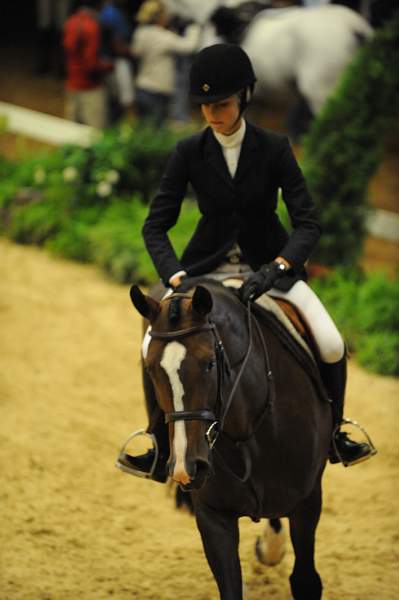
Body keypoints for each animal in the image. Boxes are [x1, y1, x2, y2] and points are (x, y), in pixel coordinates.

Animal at [130, 282, 332, 600]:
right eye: (150, 369)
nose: (186, 468)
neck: (245, 435)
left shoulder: (309, 501)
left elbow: (306, 581)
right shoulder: (214, 517)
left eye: (209, 364)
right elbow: (230, 587)